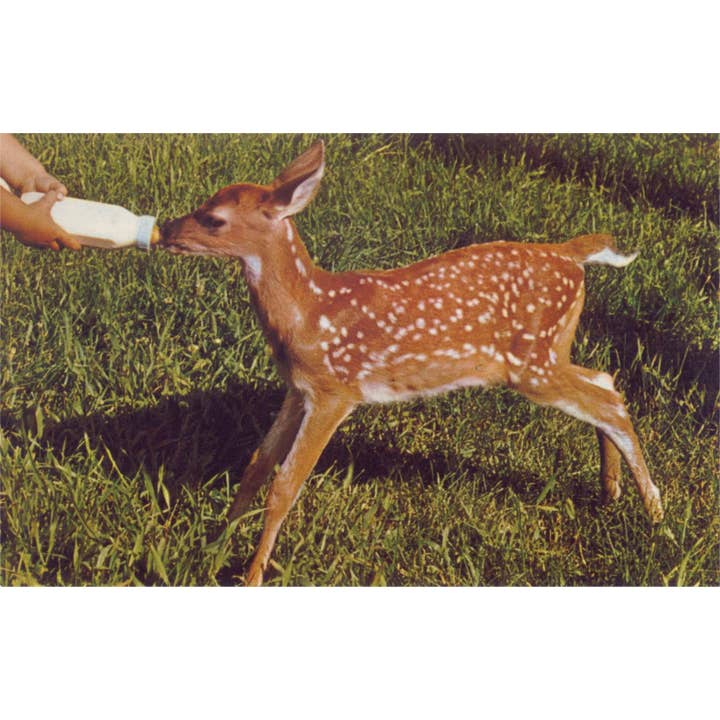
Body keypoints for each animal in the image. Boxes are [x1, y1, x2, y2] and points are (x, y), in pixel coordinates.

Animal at [160, 140, 664, 586]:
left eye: (213, 218)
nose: (164, 229)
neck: (309, 312)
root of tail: (570, 254)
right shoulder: (297, 389)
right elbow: (257, 465)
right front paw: (213, 546)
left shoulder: (335, 390)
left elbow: (285, 485)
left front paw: (251, 576)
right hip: (551, 351)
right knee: (605, 380)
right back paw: (611, 489)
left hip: (532, 365)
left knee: (608, 403)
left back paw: (656, 512)